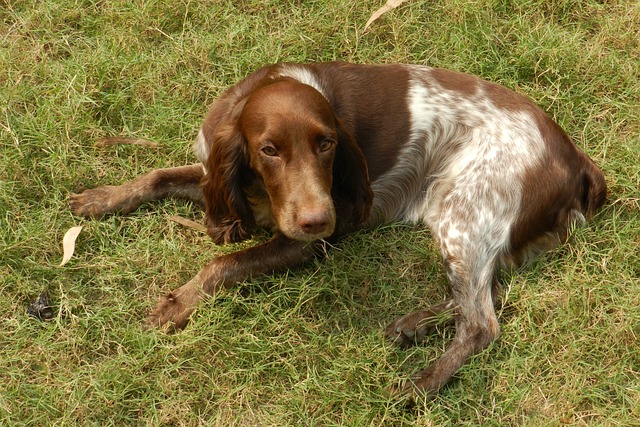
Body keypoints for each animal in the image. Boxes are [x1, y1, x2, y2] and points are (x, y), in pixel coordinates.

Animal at [70, 61, 604, 400]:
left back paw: (417, 386)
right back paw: (413, 325)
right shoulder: (215, 176)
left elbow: (223, 263)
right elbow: (157, 176)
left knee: (481, 324)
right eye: (268, 150)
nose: (317, 219)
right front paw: (101, 198)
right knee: (480, 295)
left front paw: (177, 304)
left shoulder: (306, 243)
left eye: (326, 144)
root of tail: (575, 157)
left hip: (465, 214)